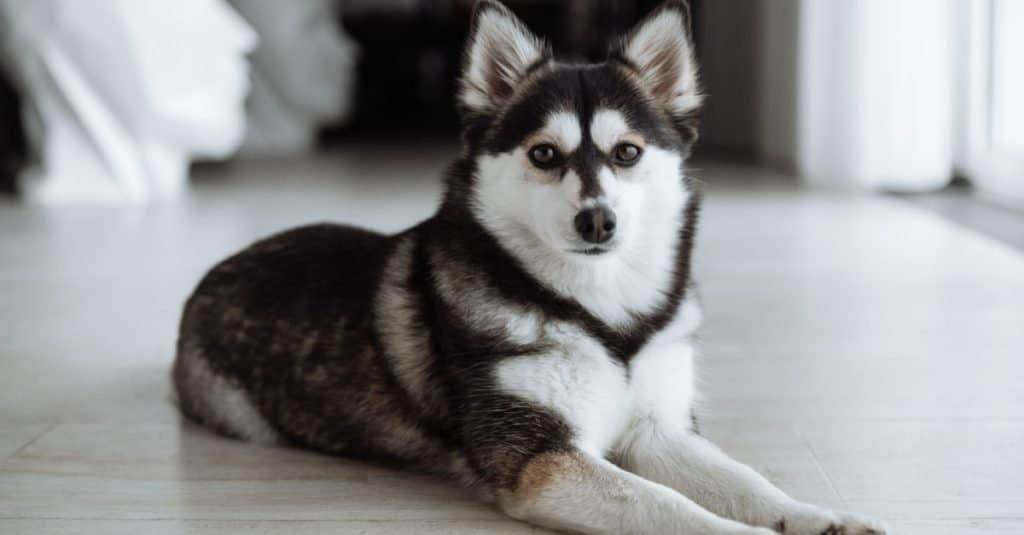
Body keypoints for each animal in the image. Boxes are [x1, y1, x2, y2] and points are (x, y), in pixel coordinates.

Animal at [172, 2, 884, 528]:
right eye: (544, 154)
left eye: (627, 152)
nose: (597, 220)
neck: (603, 316)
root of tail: (219, 268)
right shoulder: (539, 458)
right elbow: (666, 505)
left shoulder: (658, 431)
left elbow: (746, 481)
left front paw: (818, 516)